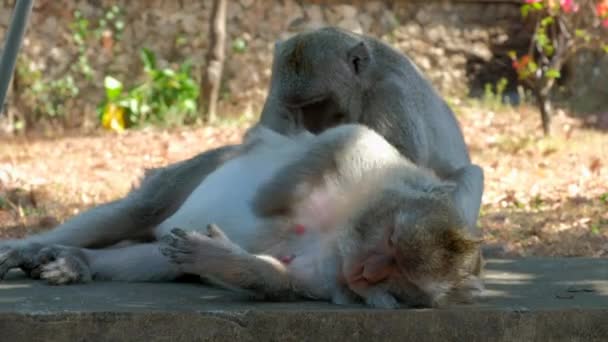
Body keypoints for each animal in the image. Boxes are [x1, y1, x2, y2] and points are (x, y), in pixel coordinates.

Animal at [157, 124, 484, 308]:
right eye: (391, 237)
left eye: (404, 279)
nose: (366, 271)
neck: (338, 231)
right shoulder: (373, 162)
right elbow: (345, 135)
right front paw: (270, 202)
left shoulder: (329, 275)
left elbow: (284, 277)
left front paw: (219, 259)